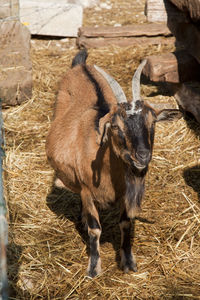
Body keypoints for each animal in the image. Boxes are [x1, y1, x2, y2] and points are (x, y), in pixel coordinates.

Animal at [45, 50, 181, 278]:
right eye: (115, 126)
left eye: (152, 122)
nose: (142, 156)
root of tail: (81, 65)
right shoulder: (86, 190)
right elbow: (95, 229)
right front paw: (93, 268)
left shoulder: (125, 193)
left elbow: (125, 223)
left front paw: (128, 262)